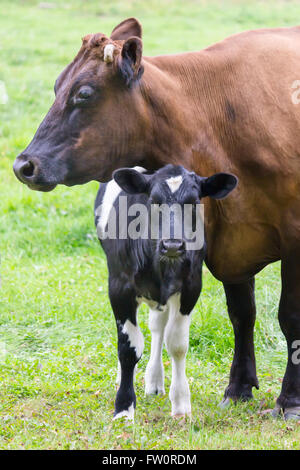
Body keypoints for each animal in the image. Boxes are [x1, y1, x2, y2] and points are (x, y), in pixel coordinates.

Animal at [94, 165, 237, 418]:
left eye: (194, 202)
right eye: (153, 201)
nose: (172, 244)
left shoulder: (191, 287)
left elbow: (177, 345)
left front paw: (180, 404)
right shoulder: (119, 288)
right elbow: (128, 348)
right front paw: (124, 408)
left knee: (158, 327)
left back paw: (154, 381)